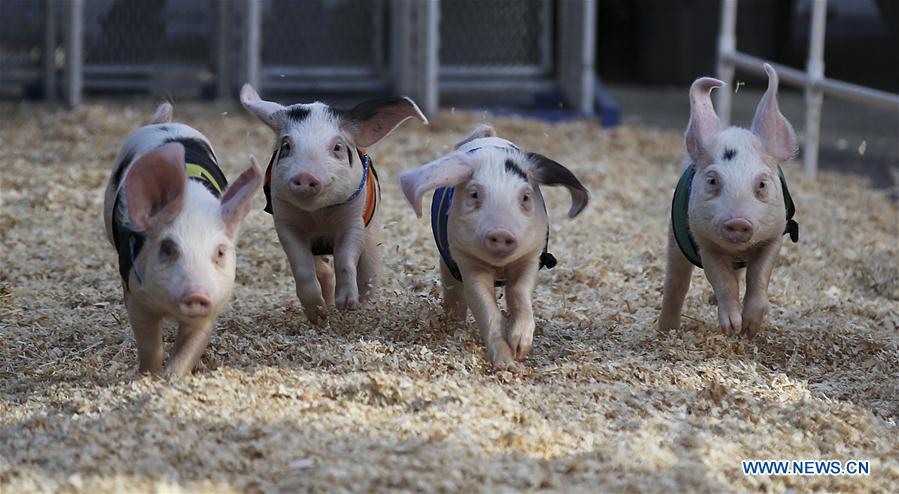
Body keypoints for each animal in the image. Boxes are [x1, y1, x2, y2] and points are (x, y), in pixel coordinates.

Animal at [103, 102, 263, 377]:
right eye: (167, 248)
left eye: (220, 252)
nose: (196, 294)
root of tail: (165, 123)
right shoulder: (139, 296)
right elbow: (149, 342)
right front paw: (149, 376)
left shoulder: (213, 301)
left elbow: (190, 346)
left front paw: (172, 377)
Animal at [240, 84, 427, 325]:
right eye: (287, 146)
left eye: (337, 147)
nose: (304, 176)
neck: (318, 216)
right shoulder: (285, 221)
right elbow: (302, 266)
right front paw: (318, 315)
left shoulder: (354, 219)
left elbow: (345, 258)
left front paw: (347, 305)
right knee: (324, 271)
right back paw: (326, 308)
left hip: (372, 233)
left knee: (370, 270)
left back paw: (366, 306)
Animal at [399, 125, 589, 371]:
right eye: (474, 194)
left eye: (525, 197)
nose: (501, 232)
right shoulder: (467, 261)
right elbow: (484, 306)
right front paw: (506, 365)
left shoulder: (532, 256)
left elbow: (518, 291)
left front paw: (520, 349)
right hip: (447, 262)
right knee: (453, 290)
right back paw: (454, 324)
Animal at [659, 63, 800, 338]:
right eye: (713, 181)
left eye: (762, 184)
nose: (738, 221)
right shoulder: (705, 243)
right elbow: (723, 281)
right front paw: (732, 328)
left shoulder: (775, 235)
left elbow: (758, 276)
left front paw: (749, 329)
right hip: (674, 239)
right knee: (676, 281)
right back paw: (665, 330)